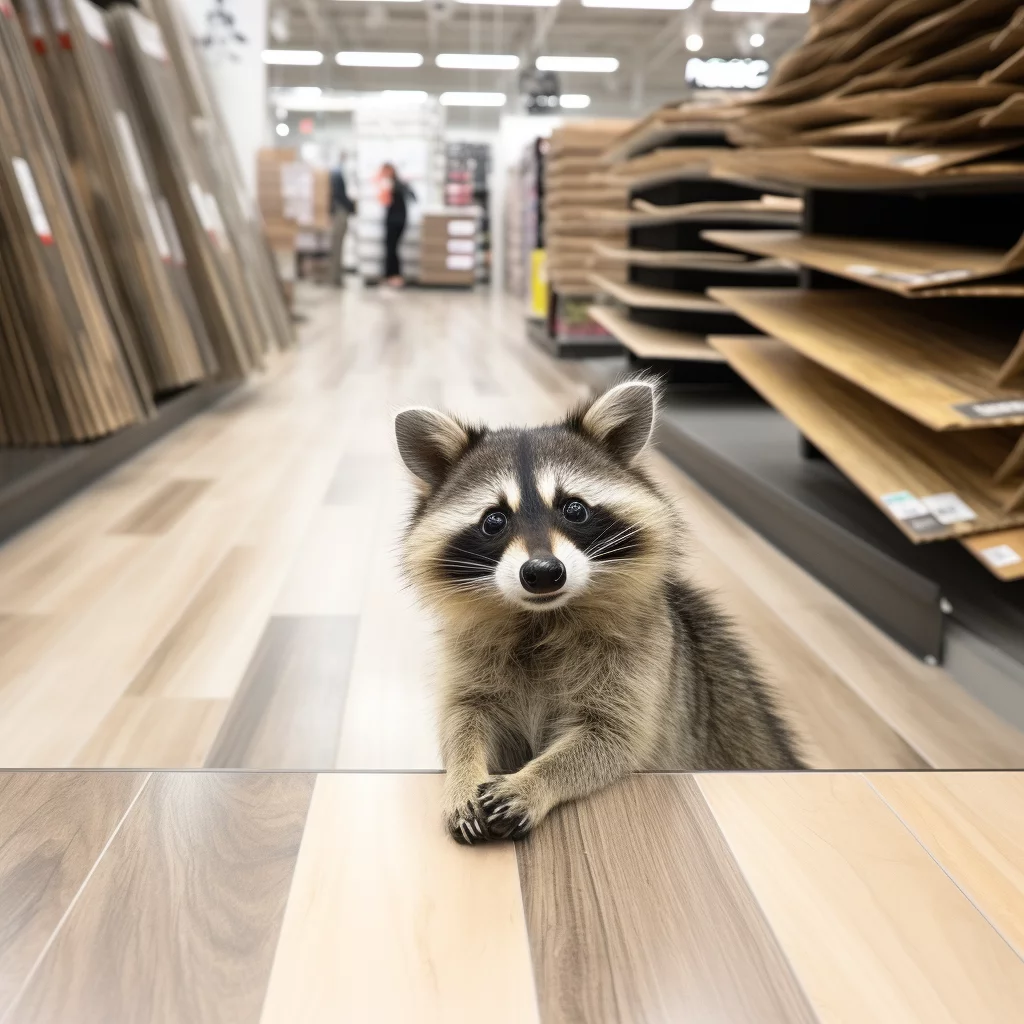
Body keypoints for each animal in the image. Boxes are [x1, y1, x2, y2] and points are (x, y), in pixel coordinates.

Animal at [395, 379, 803, 845]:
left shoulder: (647, 658)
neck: (541, 618)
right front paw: (462, 776)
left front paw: (535, 780)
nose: (542, 573)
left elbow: (612, 738)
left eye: (574, 509)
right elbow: (463, 718)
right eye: (494, 520)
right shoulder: (468, 659)